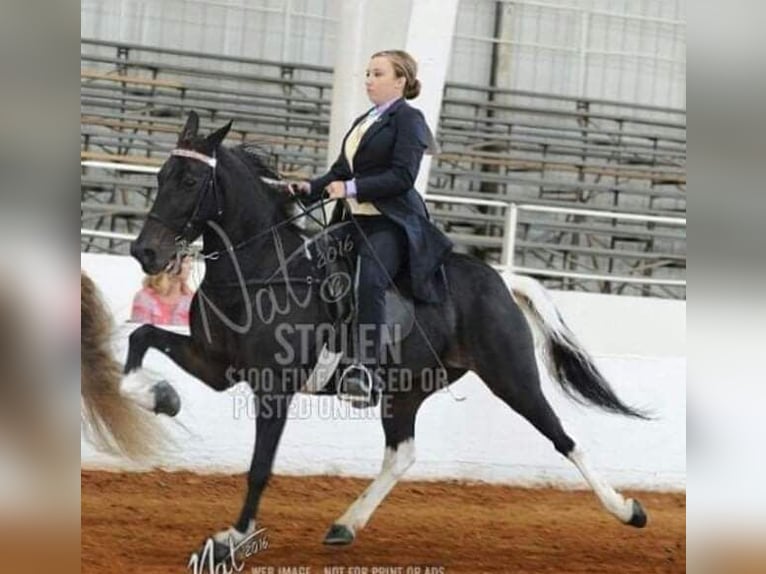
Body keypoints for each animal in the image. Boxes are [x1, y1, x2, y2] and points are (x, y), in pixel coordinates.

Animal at [125, 111, 648, 562]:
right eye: (161, 176)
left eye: (191, 182)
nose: (145, 252)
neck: (260, 269)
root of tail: (498, 279)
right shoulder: (215, 365)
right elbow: (141, 337)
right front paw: (160, 397)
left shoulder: (274, 387)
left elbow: (259, 467)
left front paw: (231, 539)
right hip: (406, 389)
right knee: (402, 453)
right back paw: (346, 524)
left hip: (511, 377)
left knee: (563, 438)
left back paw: (628, 510)